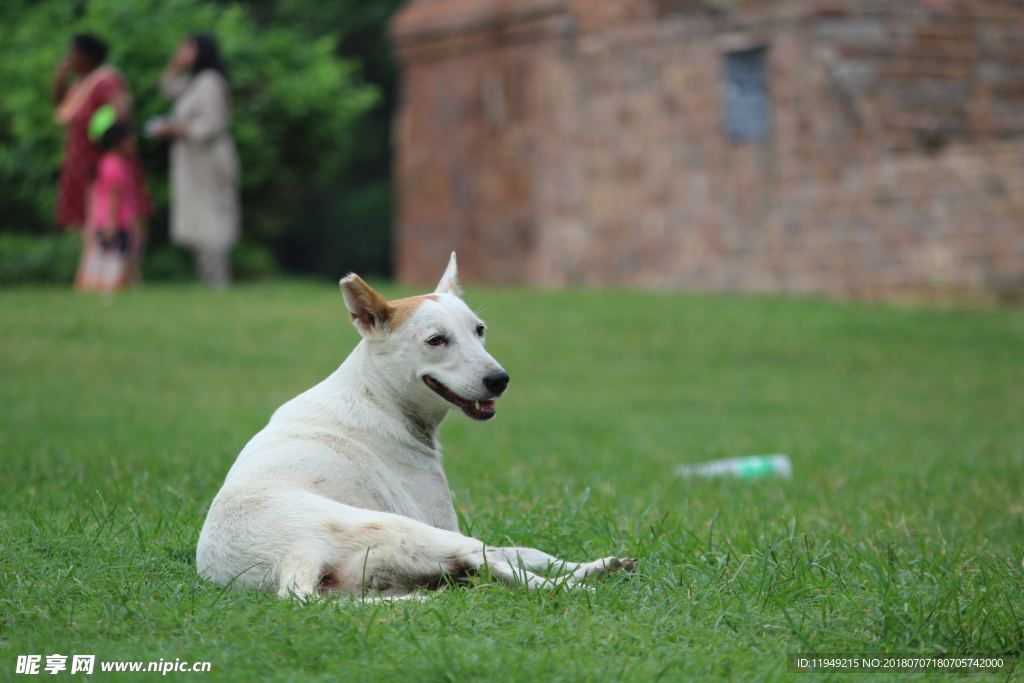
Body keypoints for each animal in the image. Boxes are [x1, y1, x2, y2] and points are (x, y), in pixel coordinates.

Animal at [193, 252, 630, 598]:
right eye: (436, 340)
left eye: (480, 330)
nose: (499, 380)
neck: (379, 397)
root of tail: (293, 555)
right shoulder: (438, 518)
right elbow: (522, 552)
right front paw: (580, 569)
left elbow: (527, 552)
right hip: (414, 531)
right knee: (495, 561)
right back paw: (582, 582)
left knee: (486, 567)